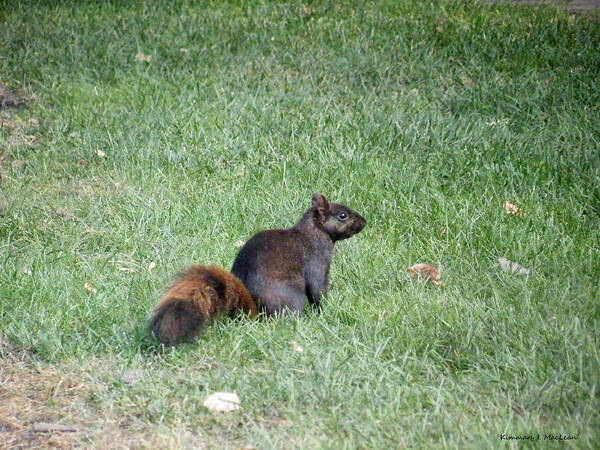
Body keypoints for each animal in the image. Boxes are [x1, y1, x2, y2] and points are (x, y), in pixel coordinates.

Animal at [150, 192, 366, 344]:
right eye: (343, 215)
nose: (365, 221)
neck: (314, 232)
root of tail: (256, 312)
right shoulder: (317, 262)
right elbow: (317, 290)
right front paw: (325, 312)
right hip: (292, 296)